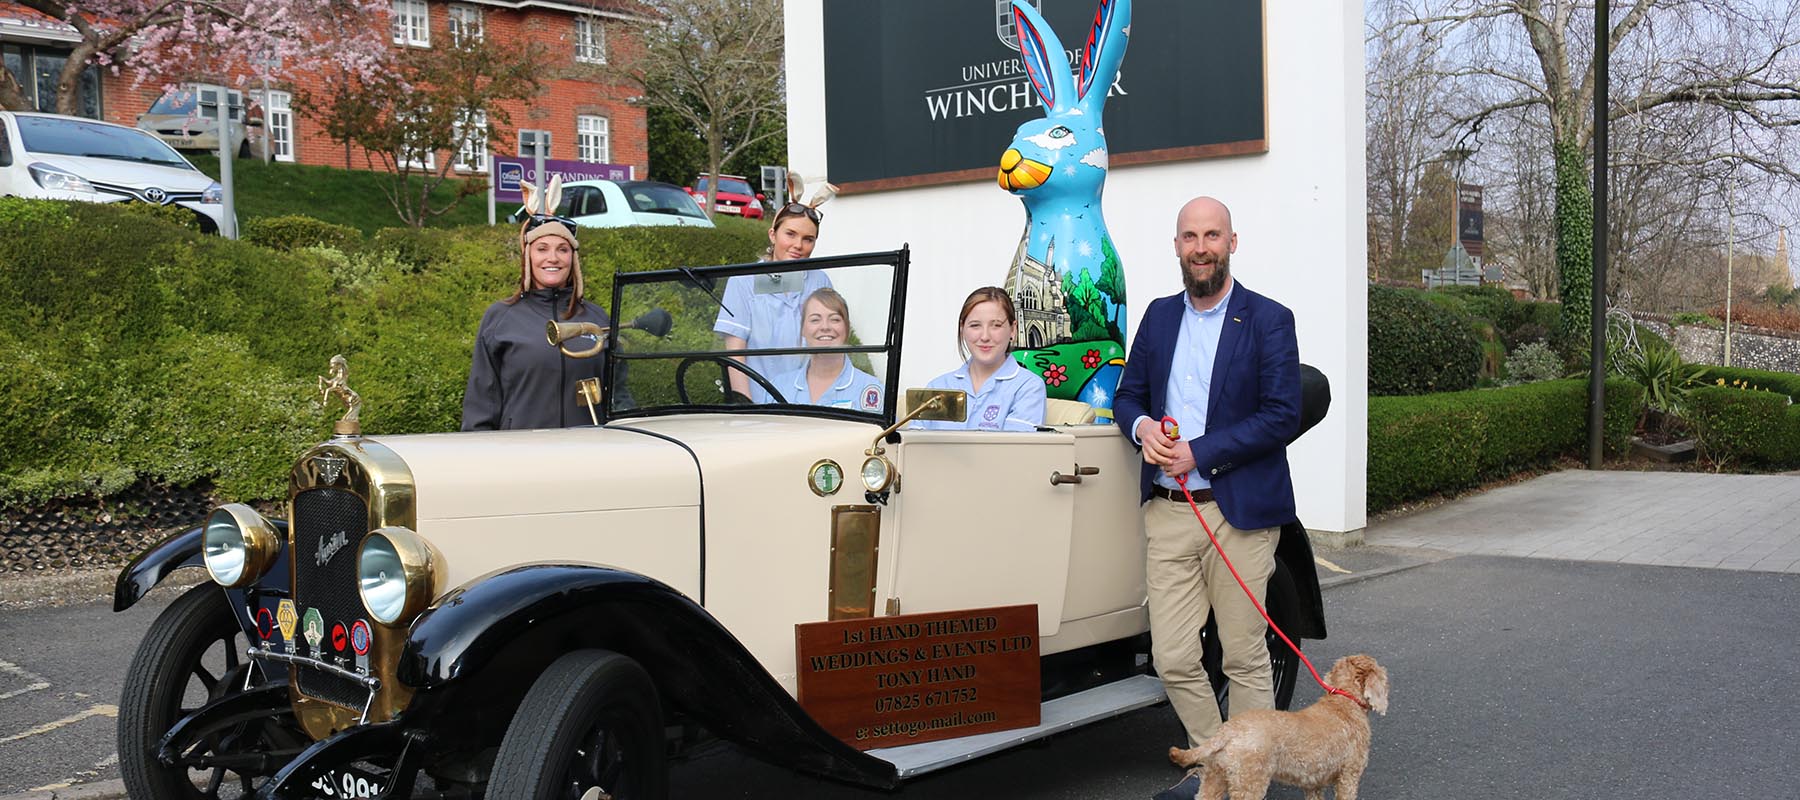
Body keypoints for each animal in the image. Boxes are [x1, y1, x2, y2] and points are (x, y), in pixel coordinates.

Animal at [1166, 655, 1389, 800]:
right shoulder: (1349, 776)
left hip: (1215, 777)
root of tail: (1228, 730)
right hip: (1250, 782)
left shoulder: (1314, 783)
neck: (1344, 701)